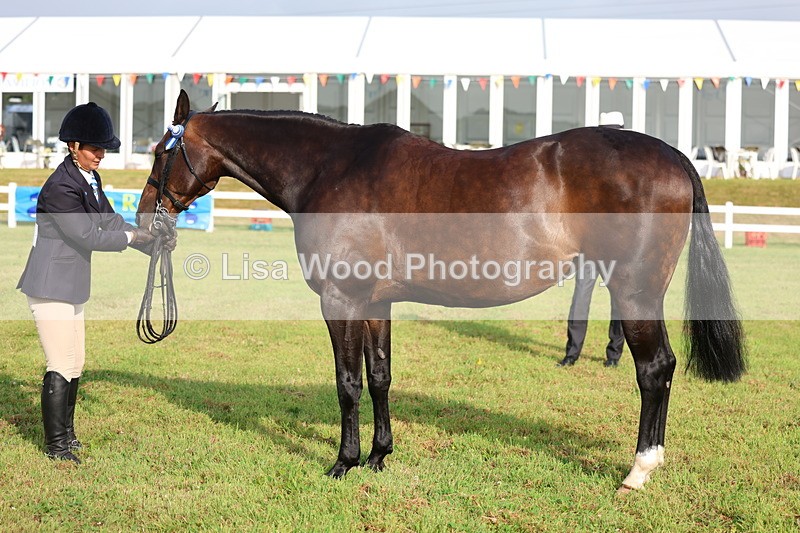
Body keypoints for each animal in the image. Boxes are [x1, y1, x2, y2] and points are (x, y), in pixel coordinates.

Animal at [136, 89, 746, 492]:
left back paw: (639, 469)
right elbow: (379, 378)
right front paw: (379, 456)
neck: (331, 168)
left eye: (160, 152)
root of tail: (673, 156)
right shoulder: (375, 302)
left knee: (655, 369)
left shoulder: (341, 300)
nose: (144, 221)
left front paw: (343, 462)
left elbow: (347, 384)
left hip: (635, 293)